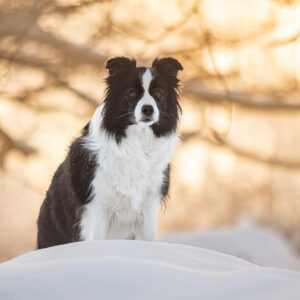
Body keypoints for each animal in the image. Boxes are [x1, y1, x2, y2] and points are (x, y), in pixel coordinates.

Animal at [37, 56, 183, 248]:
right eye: (131, 93)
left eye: (158, 93)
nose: (148, 109)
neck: (137, 141)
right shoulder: (97, 204)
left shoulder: (150, 201)